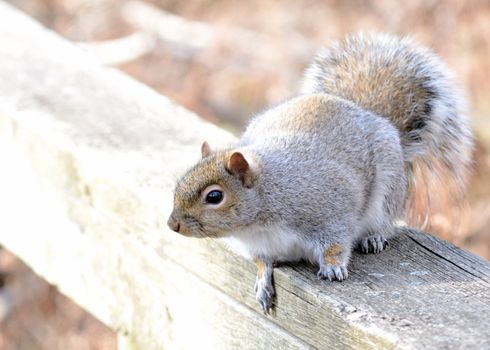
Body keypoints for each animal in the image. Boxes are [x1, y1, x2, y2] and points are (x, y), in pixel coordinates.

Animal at [167, 32, 472, 312]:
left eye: (214, 196)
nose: (173, 225)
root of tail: (366, 113)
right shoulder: (260, 246)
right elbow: (261, 262)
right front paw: (263, 281)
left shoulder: (329, 212)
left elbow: (335, 244)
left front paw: (333, 268)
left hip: (387, 194)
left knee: (384, 222)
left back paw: (373, 237)